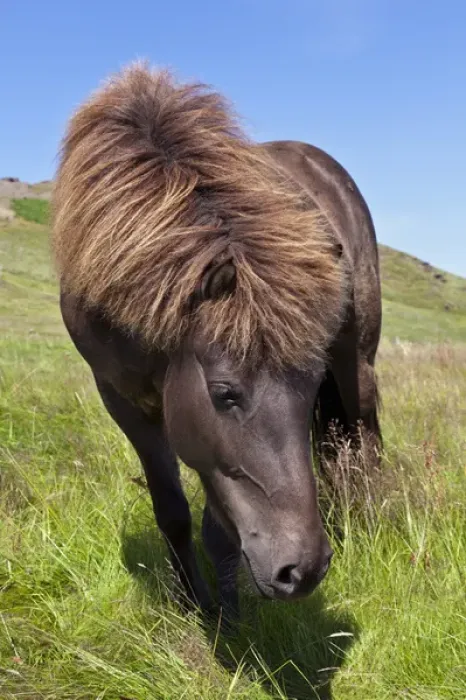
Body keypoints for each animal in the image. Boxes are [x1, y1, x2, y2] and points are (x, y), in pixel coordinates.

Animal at [52, 63, 382, 622]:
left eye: (307, 387)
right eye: (225, 393)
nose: (305, 570)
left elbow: (221, 526)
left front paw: (228, 613)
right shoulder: (124, 398)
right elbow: (173, 511)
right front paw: (195, 601)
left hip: (357, 361)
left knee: (364, 436)